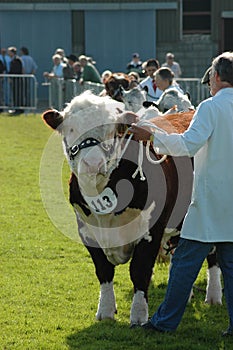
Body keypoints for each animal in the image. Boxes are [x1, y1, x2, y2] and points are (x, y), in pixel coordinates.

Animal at [41, 90, 222, 326]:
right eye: (70, 129)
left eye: (112, 131)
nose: (92, 163)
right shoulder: (86, 230)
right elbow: (103, 270)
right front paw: (105, 311)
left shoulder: (152, 230)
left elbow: (139, 270)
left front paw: (138, 315)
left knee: (213, 255)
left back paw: (214, 296)